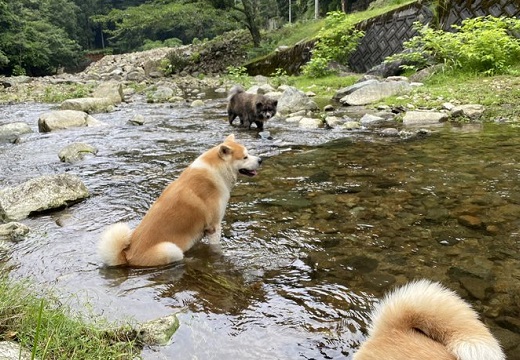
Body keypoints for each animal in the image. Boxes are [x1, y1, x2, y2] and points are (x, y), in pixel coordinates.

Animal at [96, 135, 262, 268]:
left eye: (248, 153)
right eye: (245, 157)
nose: (261, 160)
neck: (216, 171)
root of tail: (127, 257)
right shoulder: (214, 227)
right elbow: (216, 247)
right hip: (170, 249)